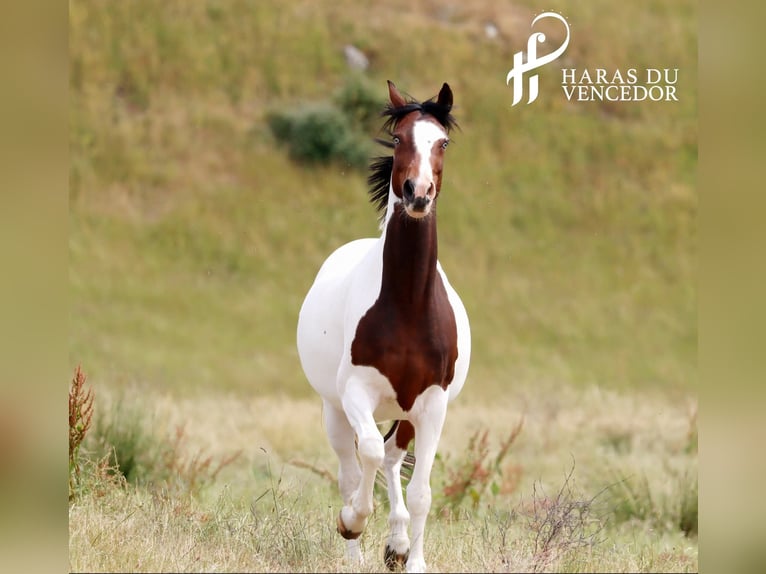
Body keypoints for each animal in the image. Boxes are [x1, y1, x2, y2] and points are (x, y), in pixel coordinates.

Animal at [296, 80, 471, 573]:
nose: (418, 193)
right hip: (334, 409)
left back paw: (396, 543)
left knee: (393, 459)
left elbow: (421, 492)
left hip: (406, 412)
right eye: (398, 139)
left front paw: (411, 559)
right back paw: (354, 551)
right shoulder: (356, 391)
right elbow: (367, 456)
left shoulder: (431, 406)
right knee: (353, 465)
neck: (408, 306)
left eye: (442, 142)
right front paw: (352, 522)